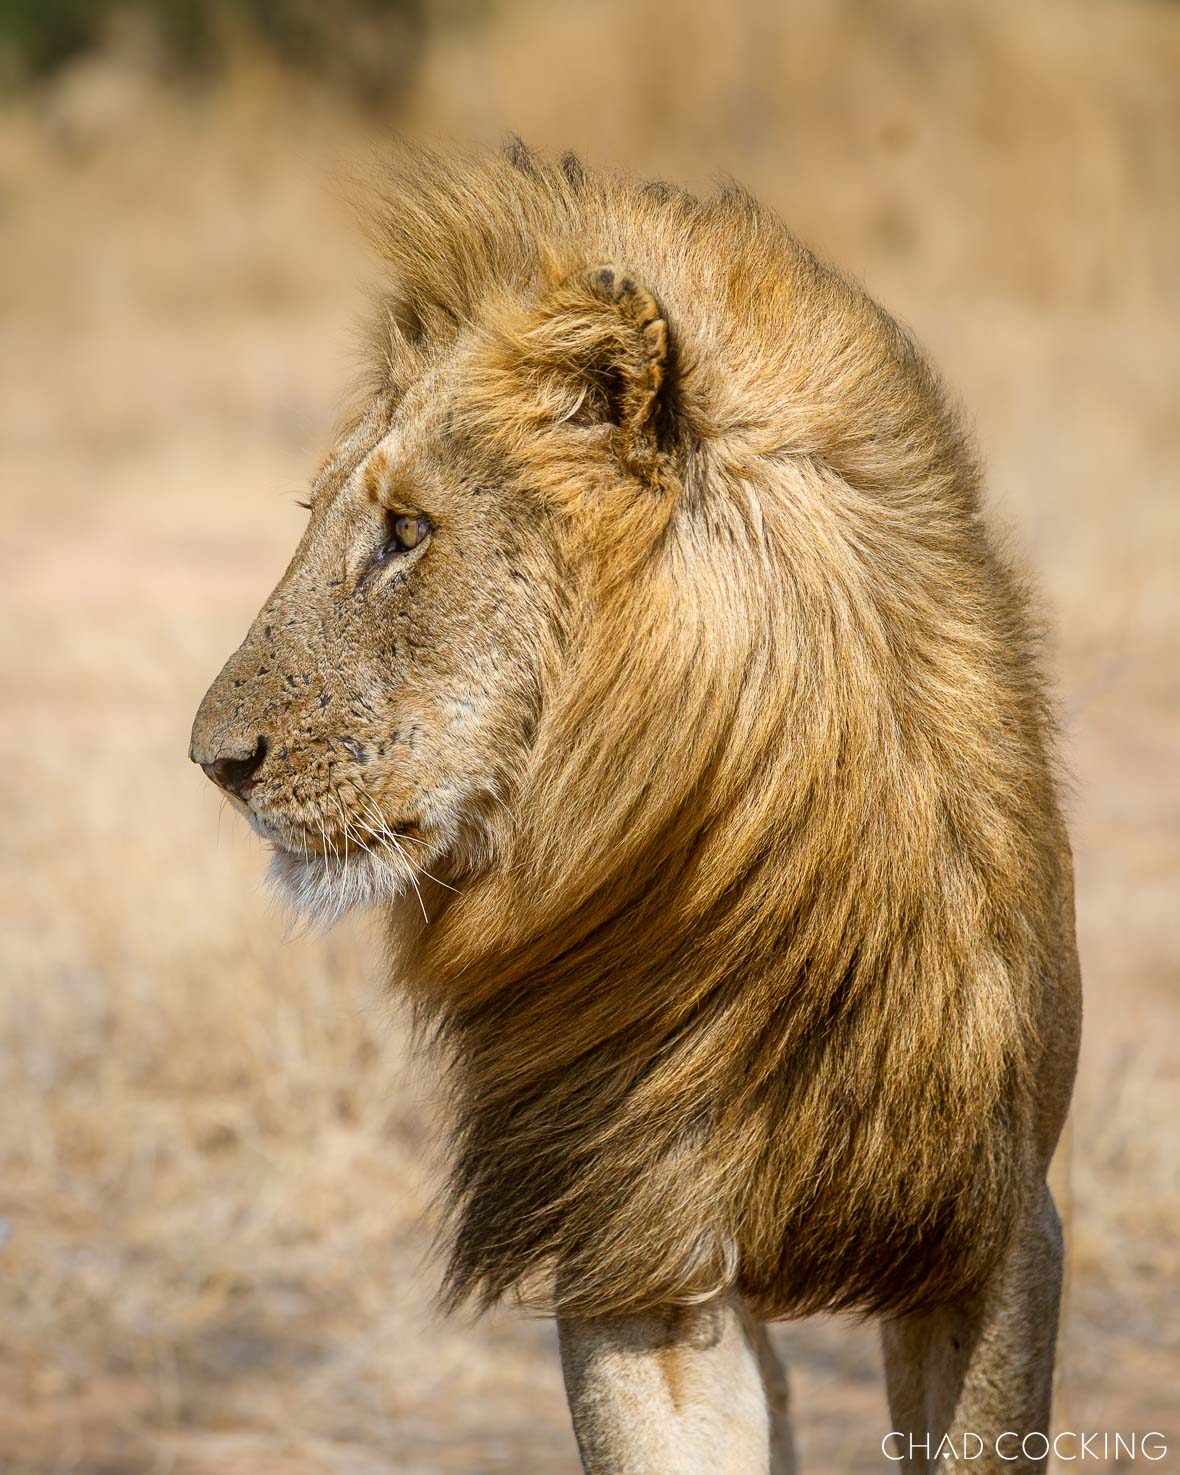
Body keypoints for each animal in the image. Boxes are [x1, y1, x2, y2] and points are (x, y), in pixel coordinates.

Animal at [191, 142, 1081, 1474]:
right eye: (321, 521)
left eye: (406, 533)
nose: (214, 759)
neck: (724, 871)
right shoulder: (636, 1242)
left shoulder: (994, 1228)